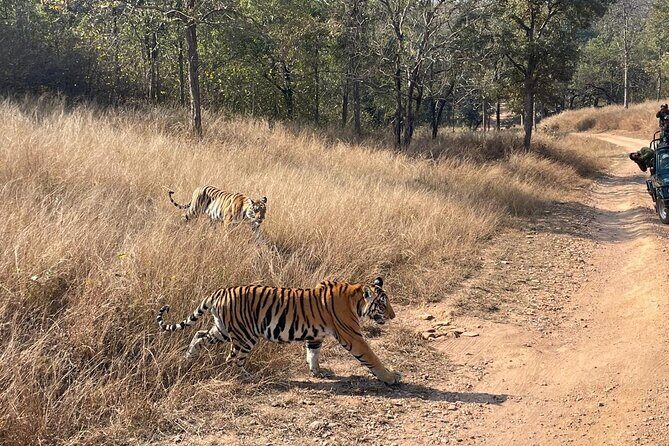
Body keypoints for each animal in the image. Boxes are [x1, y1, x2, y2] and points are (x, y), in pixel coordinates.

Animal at [156, 277, 401, 385]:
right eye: (383, 304)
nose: (393, 316)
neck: (354, 297)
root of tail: (219, 291)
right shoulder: (352, 336)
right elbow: (371, 357)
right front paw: (391, 377)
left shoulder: (316, 336)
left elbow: (313, 354)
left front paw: (317, 372)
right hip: (245, 335)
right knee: (232, 358)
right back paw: (249, 378)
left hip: (222, 329)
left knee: (198, 336)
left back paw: (188, 359)